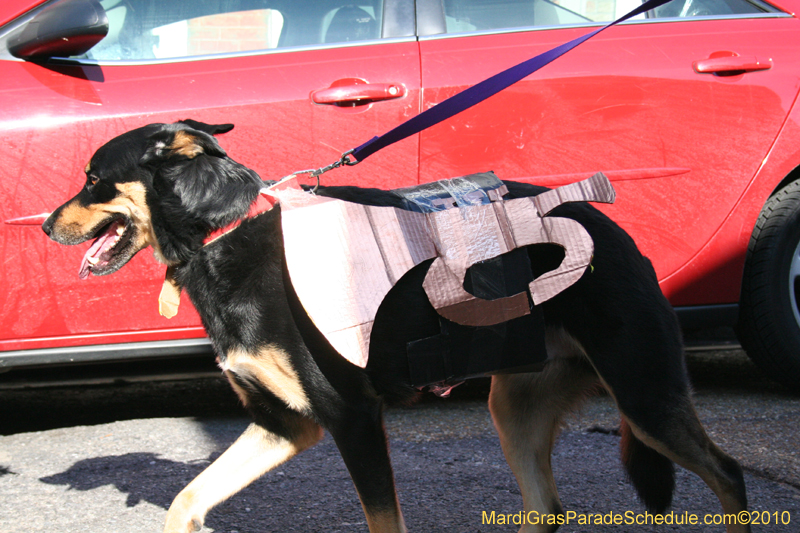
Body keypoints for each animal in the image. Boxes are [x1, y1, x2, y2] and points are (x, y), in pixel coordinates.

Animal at [40, 120, 748, 532]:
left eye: (94, 180)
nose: (45, 225)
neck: (222, 235)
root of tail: (612, 228)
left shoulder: (351, 419)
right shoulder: (284, 424)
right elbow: (189, 497)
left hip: (646, 393)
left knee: (729, 473)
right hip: (516, 406)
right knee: (547, 510)